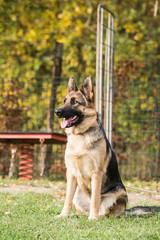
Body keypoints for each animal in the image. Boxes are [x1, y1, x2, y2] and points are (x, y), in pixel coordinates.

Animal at [55, 76, 127, 219]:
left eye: (74, 102)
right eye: (64, 101)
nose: (57, 112)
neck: (80, 135)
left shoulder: (96, 174)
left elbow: (95, 199)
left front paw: (92, 218)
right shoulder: (71, 173)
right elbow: (67, 198)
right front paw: (63, 215)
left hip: (119, 191)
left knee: (105, 212)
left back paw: (96, 216)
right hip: (78, 194)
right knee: (80, 207)